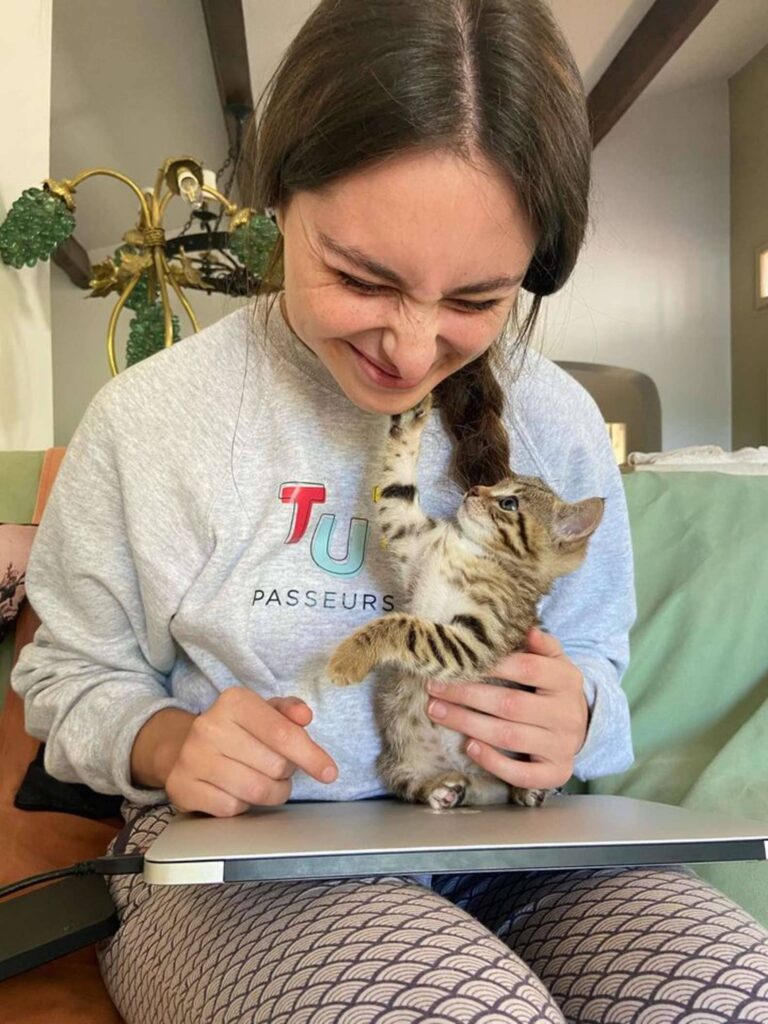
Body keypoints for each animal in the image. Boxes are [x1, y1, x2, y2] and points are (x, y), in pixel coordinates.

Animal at [327, 395, 606, 811]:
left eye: (509, 503)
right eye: (493, 482)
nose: (474, 488)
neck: (473, 550)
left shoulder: (477, 638)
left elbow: (405, 625)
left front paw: (349, 657)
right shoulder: (409, 536)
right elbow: (396, 489)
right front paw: (411, 419)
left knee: (512, 785)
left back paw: (530, 789)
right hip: (401, 760)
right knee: (420, 783)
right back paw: (442, 788)